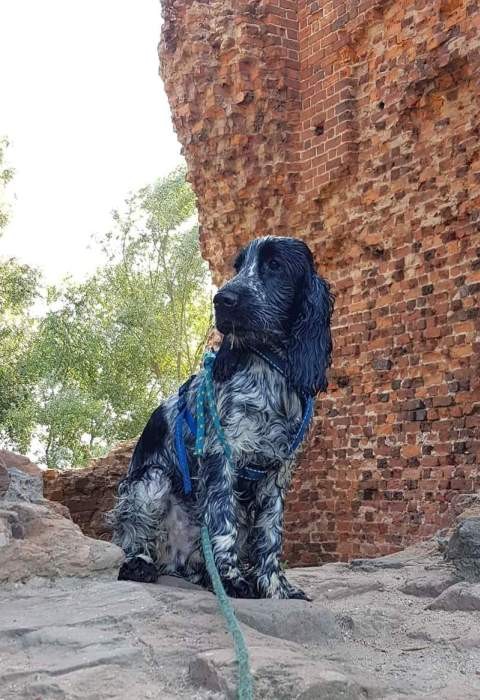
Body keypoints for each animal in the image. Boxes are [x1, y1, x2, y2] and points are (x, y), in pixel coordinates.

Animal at [109, 236, 333, 599]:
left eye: (274, 265)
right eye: (238, 266)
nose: (221, 299)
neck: (270, 369)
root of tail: (176, 560)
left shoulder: (277, 473)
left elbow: (271, 536)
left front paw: (276, 589)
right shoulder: (221, 456)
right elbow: (221, 519)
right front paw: (230, 580)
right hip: (150, 481)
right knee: (133, 536)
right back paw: (140, 564)